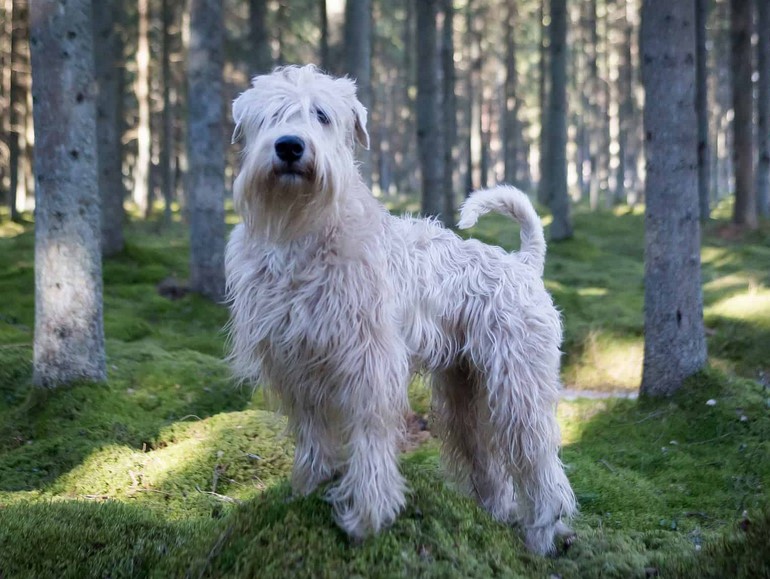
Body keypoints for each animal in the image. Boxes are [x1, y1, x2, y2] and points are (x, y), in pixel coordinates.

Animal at [225, 64, 572, 556]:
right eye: (271, 113)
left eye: (322, 115)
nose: (290, 146)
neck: (302, 234)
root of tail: (523, 263)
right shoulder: (294, 361)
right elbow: (313, 434)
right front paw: (309, 488)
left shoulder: (368, 362)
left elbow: (370, 437)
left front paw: (366, 516)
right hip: (463, 390)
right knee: (487, 460)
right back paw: (496, 515)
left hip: (518, 385)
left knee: (539, 460)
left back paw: (543, 533)